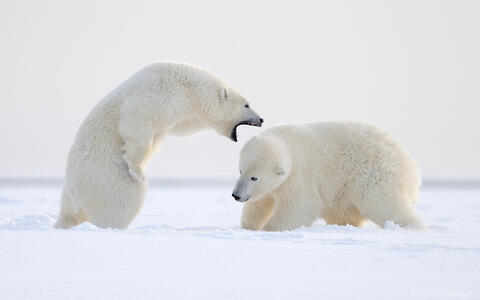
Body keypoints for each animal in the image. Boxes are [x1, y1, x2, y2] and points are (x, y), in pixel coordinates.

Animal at [54, 61, 264, 230]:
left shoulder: (181, 113)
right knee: (119, 206)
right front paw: (138, 171)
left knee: (70, 214)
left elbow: (182, 126)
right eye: (246, 105)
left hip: (71, 195)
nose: (261, 119)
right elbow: (137, 119)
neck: (190, 87)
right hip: (105, 181)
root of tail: (72, 187)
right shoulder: (158, 92)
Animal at [234, 122, 426, 232]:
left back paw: (410, 226)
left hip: (373, 173)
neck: (288, 146)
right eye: (241, 170)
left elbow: (301, 205)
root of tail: (411, 168)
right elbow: (260, 203)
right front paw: (249, 225)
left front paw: (271, 227)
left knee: (382, 202)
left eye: (254, 178)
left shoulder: (300, 174)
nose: (236, 195)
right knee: (342, 212)